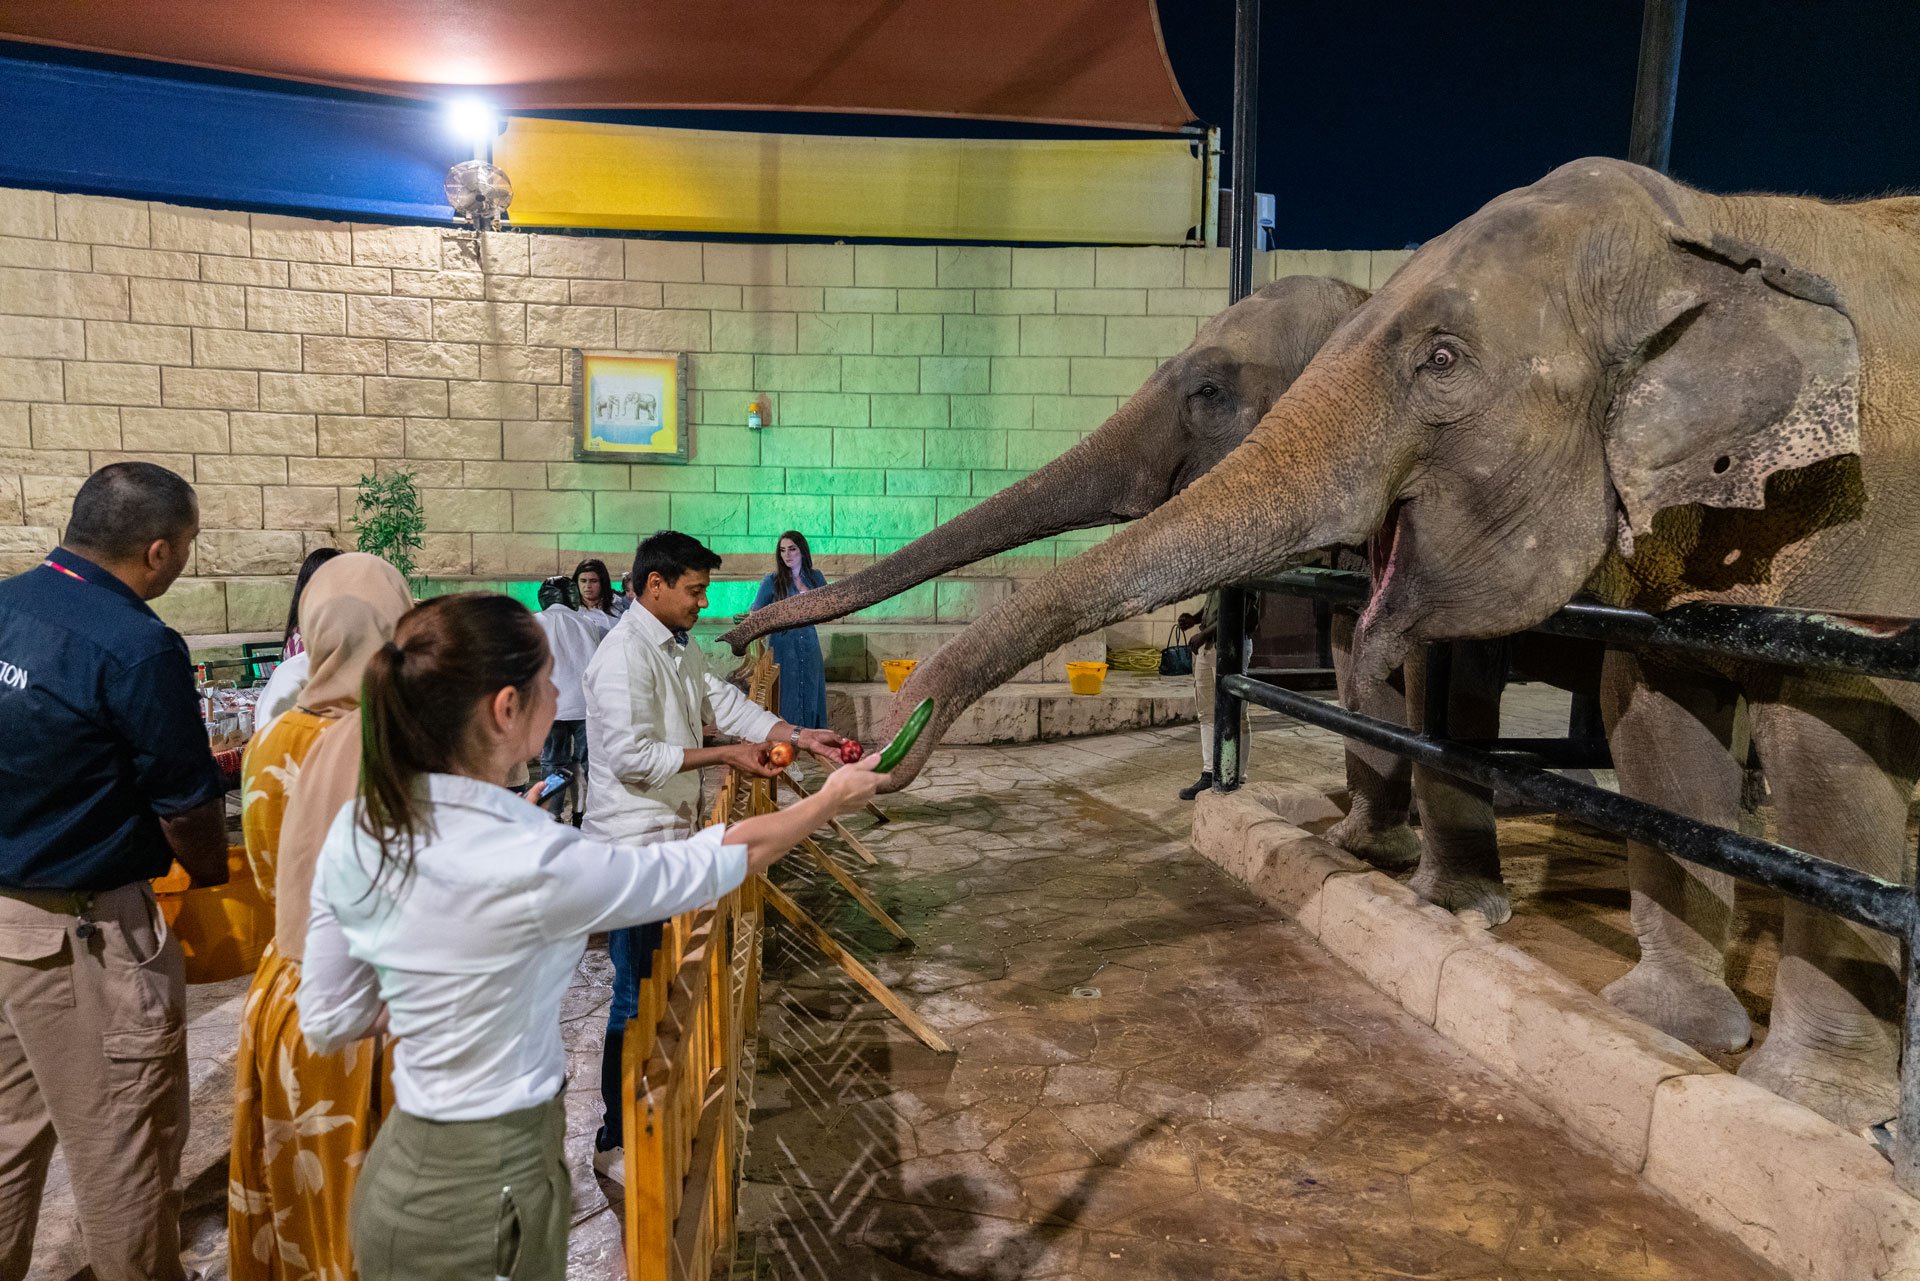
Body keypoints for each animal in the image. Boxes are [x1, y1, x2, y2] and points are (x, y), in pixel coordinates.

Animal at [879, 160, 1920, 1129]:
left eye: (1209, 390)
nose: (895, 736)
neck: (1711, 229)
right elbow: (1621, 707)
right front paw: (1381, 860)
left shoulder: (1858, 521)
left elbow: (1826, 743)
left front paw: (1801, 1095)